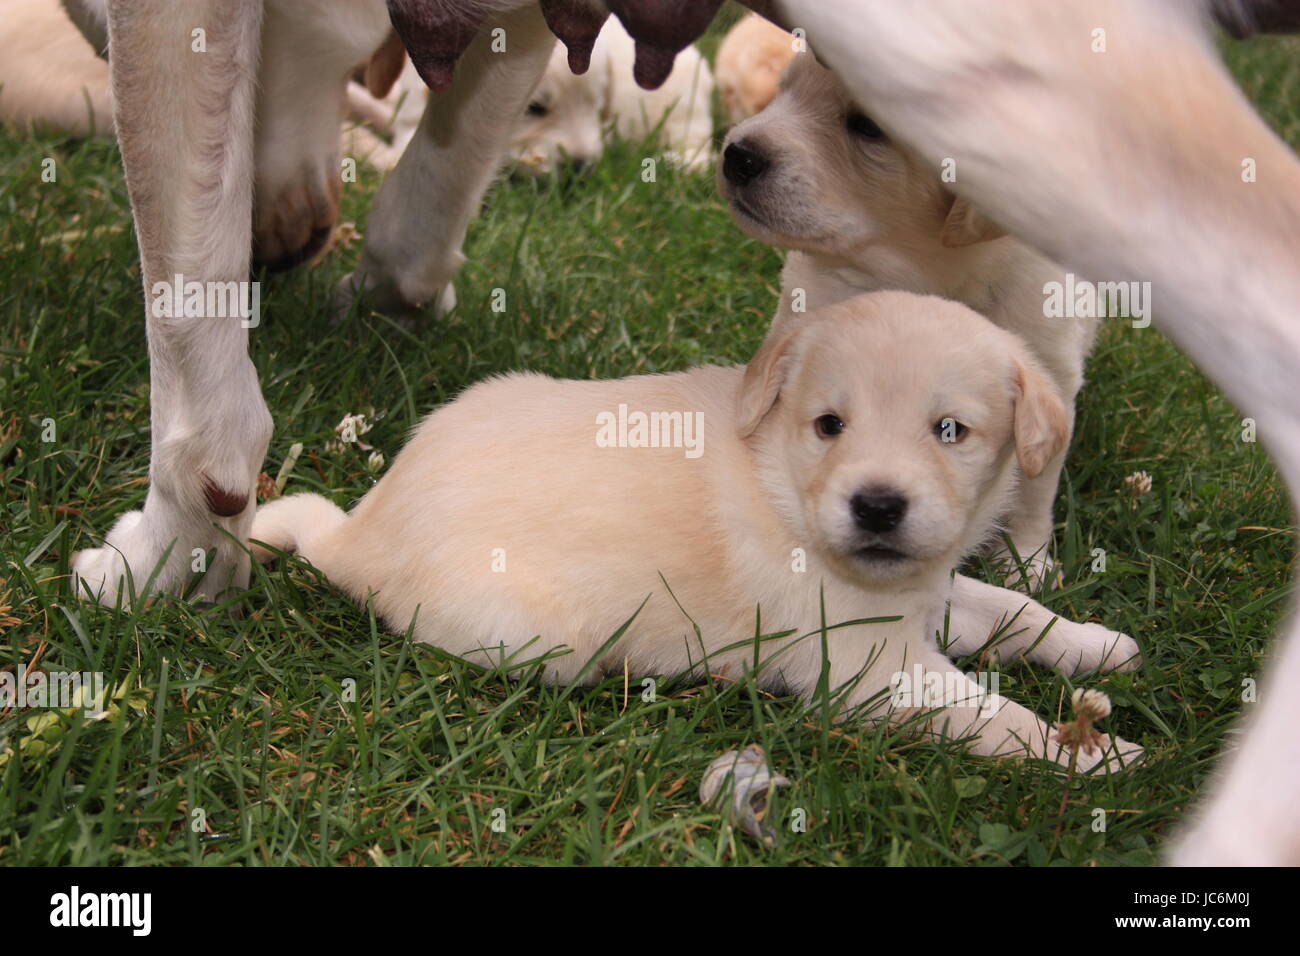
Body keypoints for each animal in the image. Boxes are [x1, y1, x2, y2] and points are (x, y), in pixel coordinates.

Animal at [250, 295, 1138, 775]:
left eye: (950, 430)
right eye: (829, 425)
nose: (878, 507)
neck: (785, 480)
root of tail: (360, 532)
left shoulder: (928, 597)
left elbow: (1016, 613)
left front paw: (1101, 645)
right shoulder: (870, 668)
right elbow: (994, 711)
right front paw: (1089, 751)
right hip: (541, 642)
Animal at [717, 55, 1102, 587]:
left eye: (866, 125)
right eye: (784, 88)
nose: (737, 155)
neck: (925, 270)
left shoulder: (1051, 376)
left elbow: (1032, 485)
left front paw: (1026, 562)